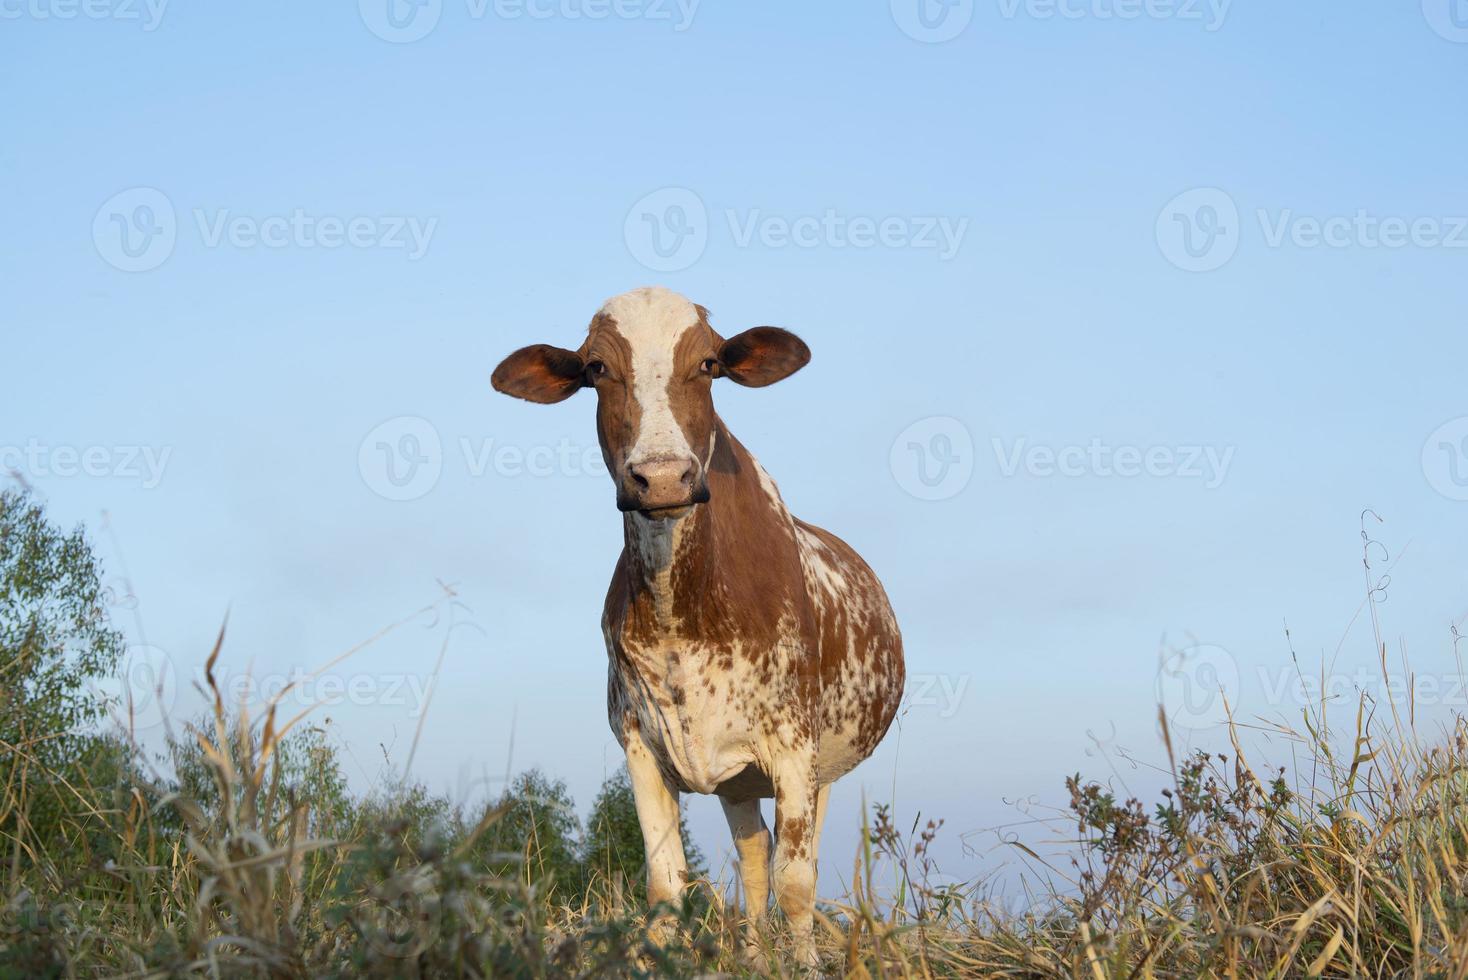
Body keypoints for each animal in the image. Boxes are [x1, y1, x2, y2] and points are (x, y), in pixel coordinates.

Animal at [493, 284, 904, 962]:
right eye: (596, 368)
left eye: (709, 364)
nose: (662, 477)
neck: (680, 607)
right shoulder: (638, 742)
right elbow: (667, 883)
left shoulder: (794, 746)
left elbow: (798, 882)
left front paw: (807, 965)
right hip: (739, 781)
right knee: (755, 856)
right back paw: (755, 954)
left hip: (820, 767)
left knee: (794, 861)